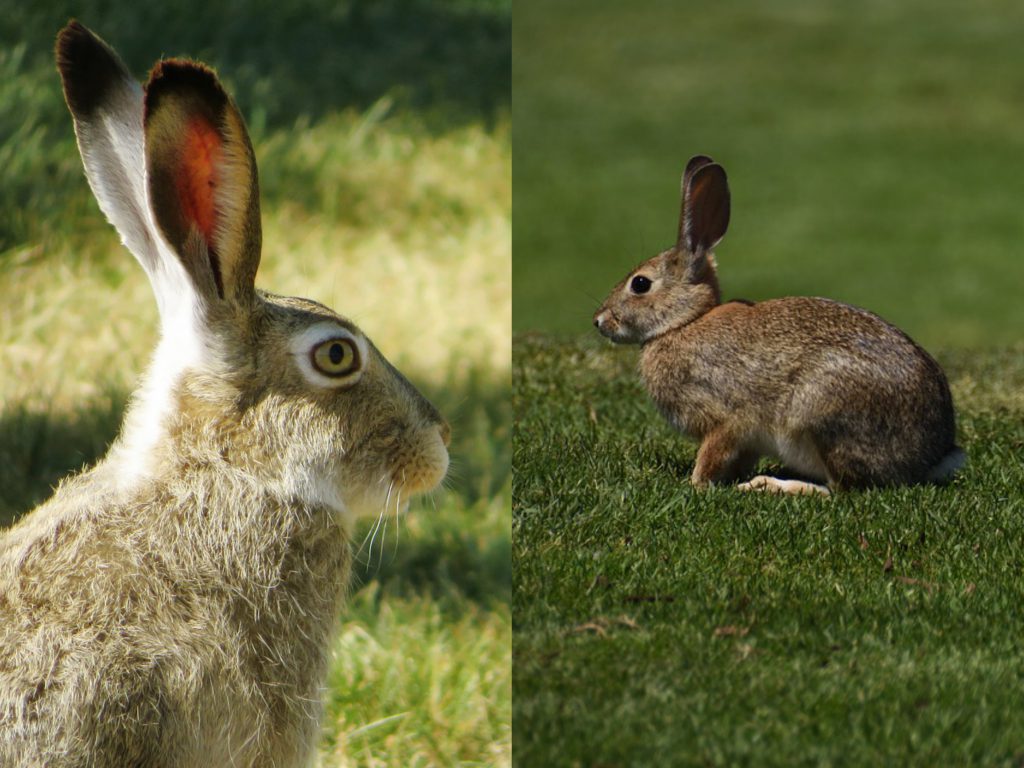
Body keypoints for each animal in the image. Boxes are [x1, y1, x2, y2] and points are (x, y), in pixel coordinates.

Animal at [593, 154, 964, 496]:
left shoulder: (725, 416)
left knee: (839, 489)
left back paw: (768, 485)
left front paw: (695, 484)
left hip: (819, 412)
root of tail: (931, 456)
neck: (684, 323)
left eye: (640, 284)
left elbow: (712, 453)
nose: (599, 321)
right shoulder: (745, 441)